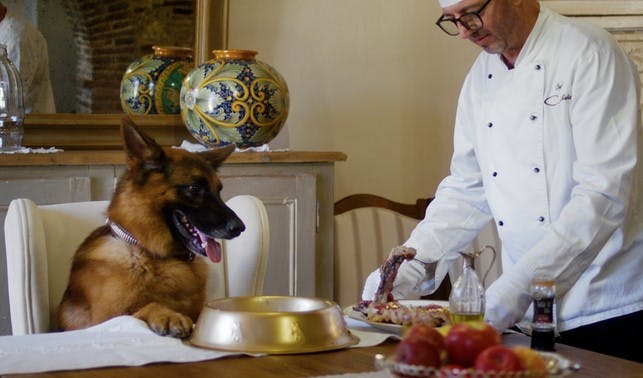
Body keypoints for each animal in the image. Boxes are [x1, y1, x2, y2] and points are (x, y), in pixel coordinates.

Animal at [57, 117, 245, 336]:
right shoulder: (100, 322)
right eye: (194, 188)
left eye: (219, 190)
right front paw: (169, 316)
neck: (150, 253)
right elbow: (143, 308)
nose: (240, 228)